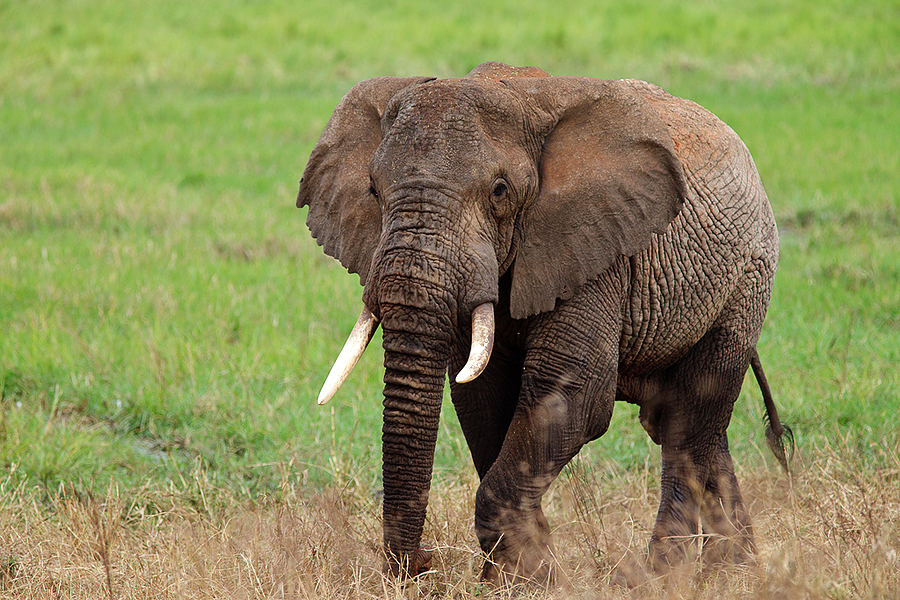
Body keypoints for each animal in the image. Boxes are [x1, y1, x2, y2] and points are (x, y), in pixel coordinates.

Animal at [296, 63, 788, 584]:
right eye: (373, 191)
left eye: (499, 192)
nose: (425, 562)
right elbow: (482, 398)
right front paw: (518, 576)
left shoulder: (596, 249)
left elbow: (569, 396)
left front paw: (529, 576)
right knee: (697, 428)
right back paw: (736, 568)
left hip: (746, 282)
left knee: (689, 419)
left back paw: (661, 574)